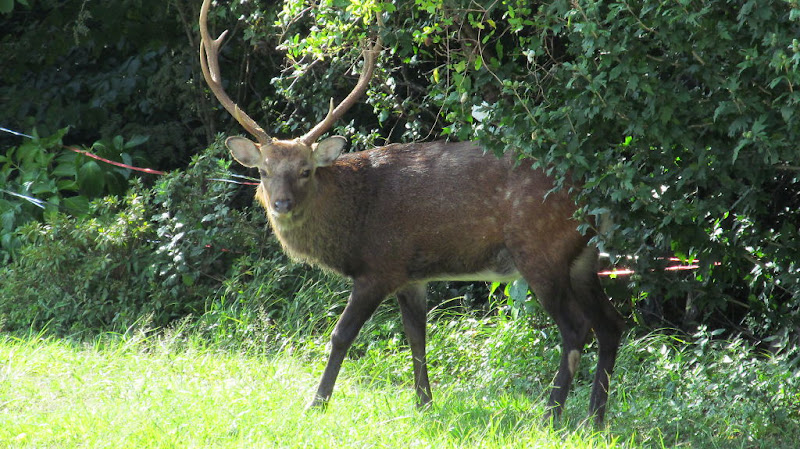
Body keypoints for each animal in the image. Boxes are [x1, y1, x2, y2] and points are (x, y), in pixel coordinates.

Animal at [199, 0, 626, 426]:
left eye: (306, 170)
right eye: (263, 171)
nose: (281, 204)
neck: (352, 226)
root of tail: (595, 199)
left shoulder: (380, 267)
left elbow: (341, 334)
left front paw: (316, 403)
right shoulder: (411, 274)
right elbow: (417, 336)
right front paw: (424, 404)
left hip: (540, 250)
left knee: (576, 328)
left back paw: (551, 416)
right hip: (583, 259)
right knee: (611, 324)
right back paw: (595, 418)